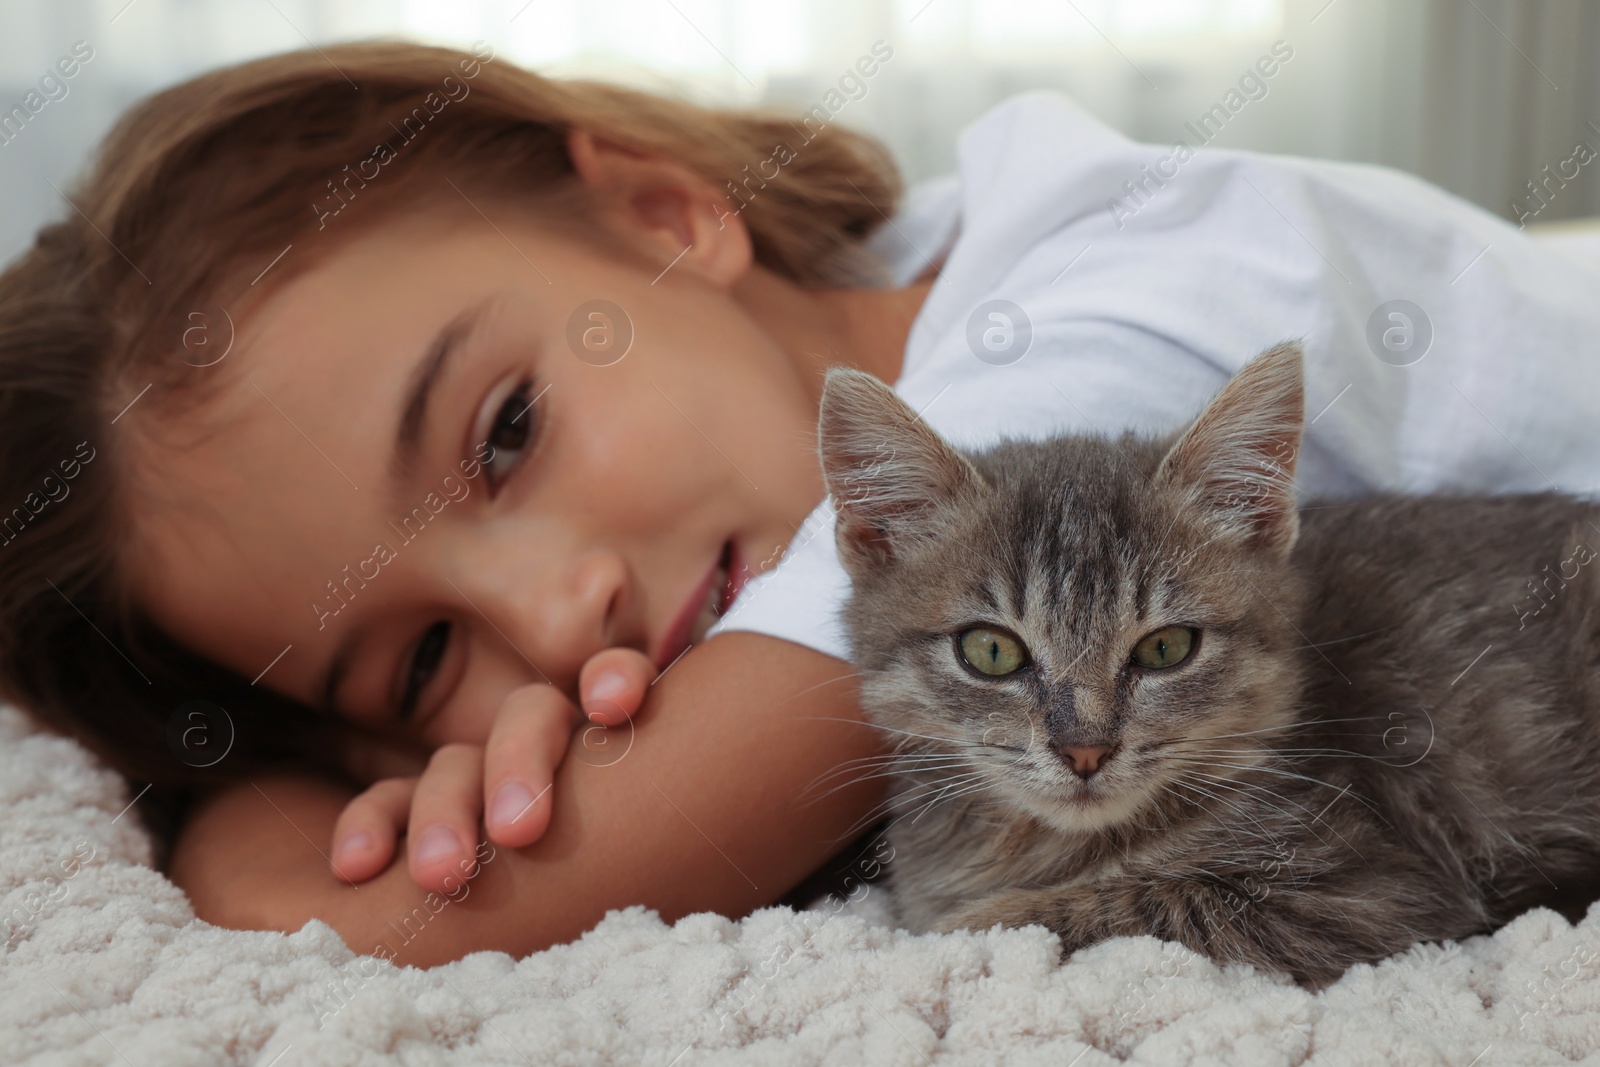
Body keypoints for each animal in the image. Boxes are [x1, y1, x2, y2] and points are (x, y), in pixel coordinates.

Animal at [819, 342, 1600, 985]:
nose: (1084, 749)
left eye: (1166, 648)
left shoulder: (1375, 889)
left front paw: (957, 930)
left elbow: (1121, 902)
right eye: (991, 650)